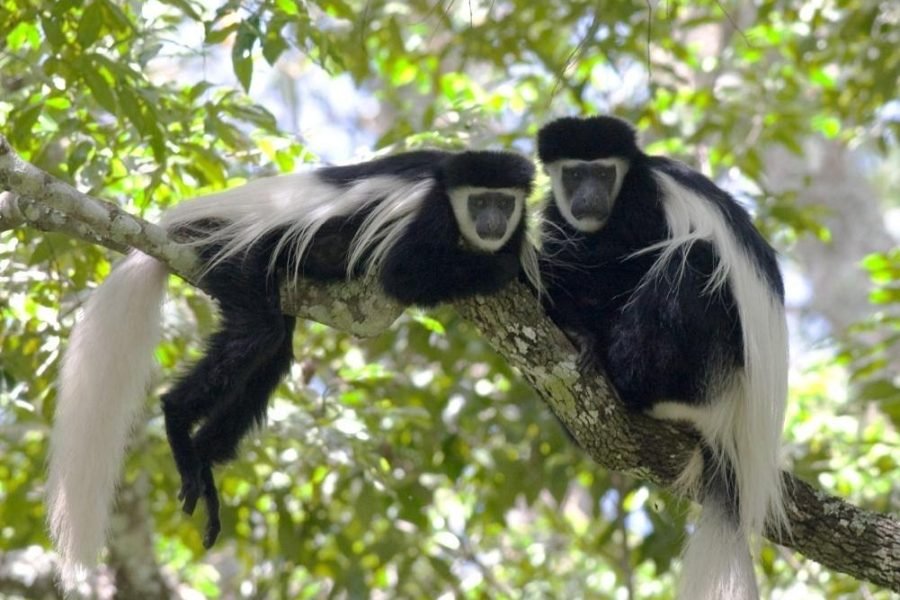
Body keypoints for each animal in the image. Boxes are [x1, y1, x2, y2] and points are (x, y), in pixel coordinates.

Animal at [46, 149, 539, 588]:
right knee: (257, 334)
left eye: (504, 202)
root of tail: (179, 223)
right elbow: (403, 275)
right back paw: (177, 420)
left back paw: (203, 462)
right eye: (479, 202)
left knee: (273, 350)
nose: (491, 223)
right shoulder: (426, 218)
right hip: (231, 254)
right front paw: (496, 267)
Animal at [536, 115, 788, 600]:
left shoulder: (643, 204)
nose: (588, 198)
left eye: (603, 173)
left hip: (711, 371)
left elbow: (627, 264)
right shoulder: (558, 214)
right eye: (574, 173)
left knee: (691, 259)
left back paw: (623, 376)